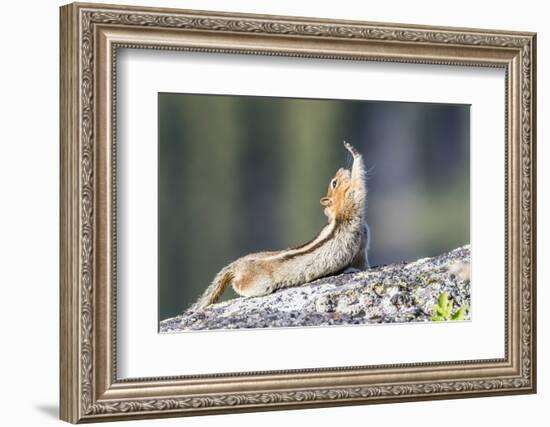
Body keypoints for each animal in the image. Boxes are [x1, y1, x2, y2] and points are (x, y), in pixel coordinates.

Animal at [189, 142, 370, 312]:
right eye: (334, 182)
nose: (341, 169)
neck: (337, 212)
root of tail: (236, 265)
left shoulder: (361, 249)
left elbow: (363, 263)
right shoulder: (352, 200)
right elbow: (359, 184)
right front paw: (353, 152)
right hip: (258, 284)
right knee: (239, 286)